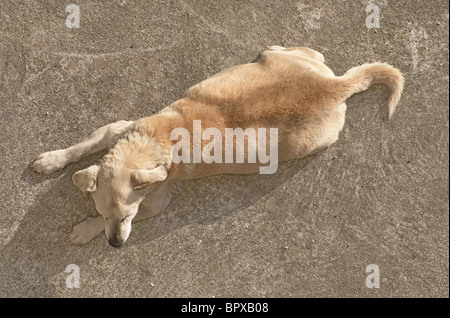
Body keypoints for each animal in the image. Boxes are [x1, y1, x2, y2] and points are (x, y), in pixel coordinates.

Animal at [31, 46, 404, 247]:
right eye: (104, 211)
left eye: (126, 217)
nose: (116, 244)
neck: (154, 144)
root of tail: (335, 86)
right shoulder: (117, 130)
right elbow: (84, 145)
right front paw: (52, 160)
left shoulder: (157, 203)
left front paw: (85, 229)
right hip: (293, 63)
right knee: (306, 52)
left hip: (313, 142)